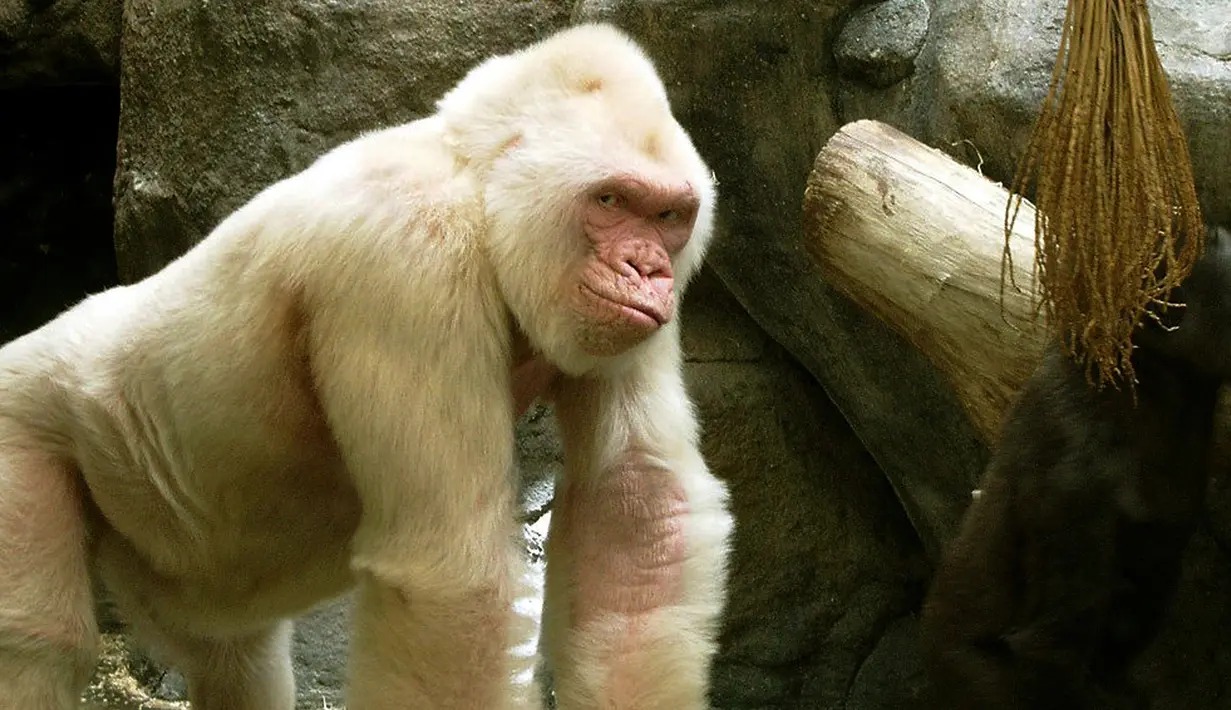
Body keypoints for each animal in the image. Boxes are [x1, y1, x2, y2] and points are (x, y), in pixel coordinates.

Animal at [0, 23, 733, 710]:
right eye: (610, 202)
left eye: (668, 215)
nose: (647, 270)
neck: (474, 185)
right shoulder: (410, 253)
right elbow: (453, 582)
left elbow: (634, 514)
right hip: (22, 414)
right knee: (40, 647)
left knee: (237, 659)